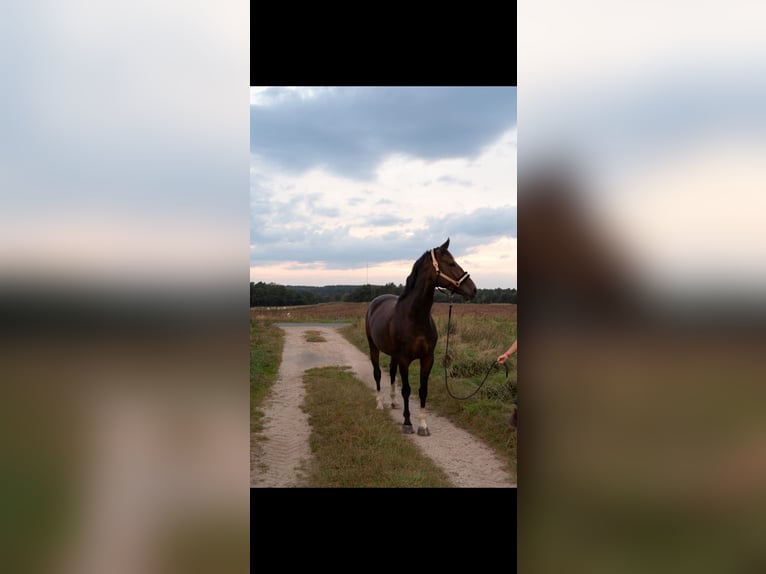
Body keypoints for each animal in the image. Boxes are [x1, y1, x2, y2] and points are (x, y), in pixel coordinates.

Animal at [364, 240, 474, 436]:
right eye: (451, 264)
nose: (473, 289)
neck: (415, 317)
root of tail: (375, 302)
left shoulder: (427, 358)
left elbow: (423, 390)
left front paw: (423, 425)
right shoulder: (405, 360)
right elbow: (407, 390)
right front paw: (407, 423)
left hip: (393, 355)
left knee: (391, 374)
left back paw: (393, 402)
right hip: (373, 348)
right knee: (377, 374)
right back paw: (380, 404)